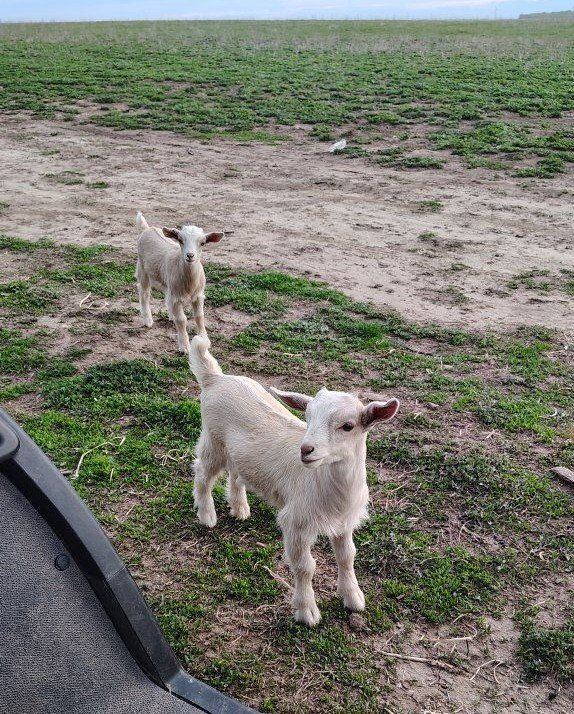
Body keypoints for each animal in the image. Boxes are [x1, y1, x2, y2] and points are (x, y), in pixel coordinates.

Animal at [135, 212, 223, 353]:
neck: (190, 284)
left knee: (166, 295)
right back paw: (148, 320)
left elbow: (199, 316)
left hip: (168, 282)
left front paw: (205, 340)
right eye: (181, 241)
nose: (190, 255)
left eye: (203, 243)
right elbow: (182, 320)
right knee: (144, 293)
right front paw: (185, 346)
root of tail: (147, 228)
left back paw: (171, 315)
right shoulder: (176, 298)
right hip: (142, 269)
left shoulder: (198, 295)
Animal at [189, 334, 400, 626]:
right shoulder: (297, 522)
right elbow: (305, 567)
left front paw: (353, 598)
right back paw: (207, 515)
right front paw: (307, 611)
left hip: (236, 452)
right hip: (213, 439)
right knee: (202, 473)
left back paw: (240, 508)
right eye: (307, 418)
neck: (330, 487)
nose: (305, 449)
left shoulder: (344, 521)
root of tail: (215, 378)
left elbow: (347, 557)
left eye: (348, 426)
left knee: (235, 472)